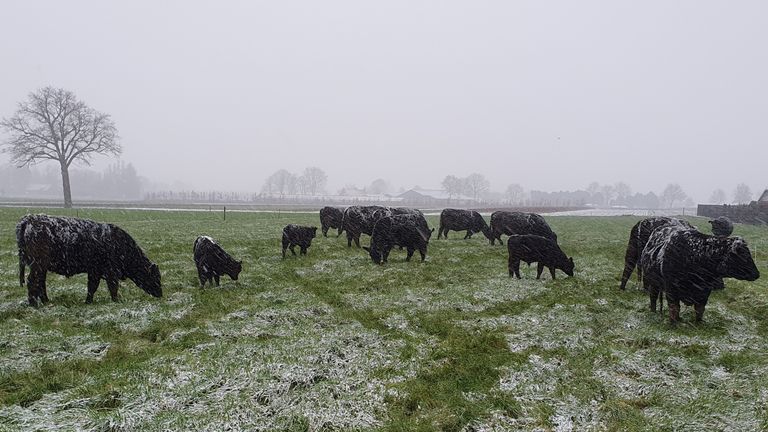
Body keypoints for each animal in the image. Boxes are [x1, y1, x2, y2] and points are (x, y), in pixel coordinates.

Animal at [15, 214, 162, 306]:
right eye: (156, 277)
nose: (160, 294)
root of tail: (29, 219)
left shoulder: (95, 271)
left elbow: (92, 287)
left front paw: (88, 302)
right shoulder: (111, 272)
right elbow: (113, 287)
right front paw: (116, 301)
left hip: (41, 267)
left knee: (40, 283)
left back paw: (46, 301)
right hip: (38, 265)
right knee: (33, 281)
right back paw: (34, 304)